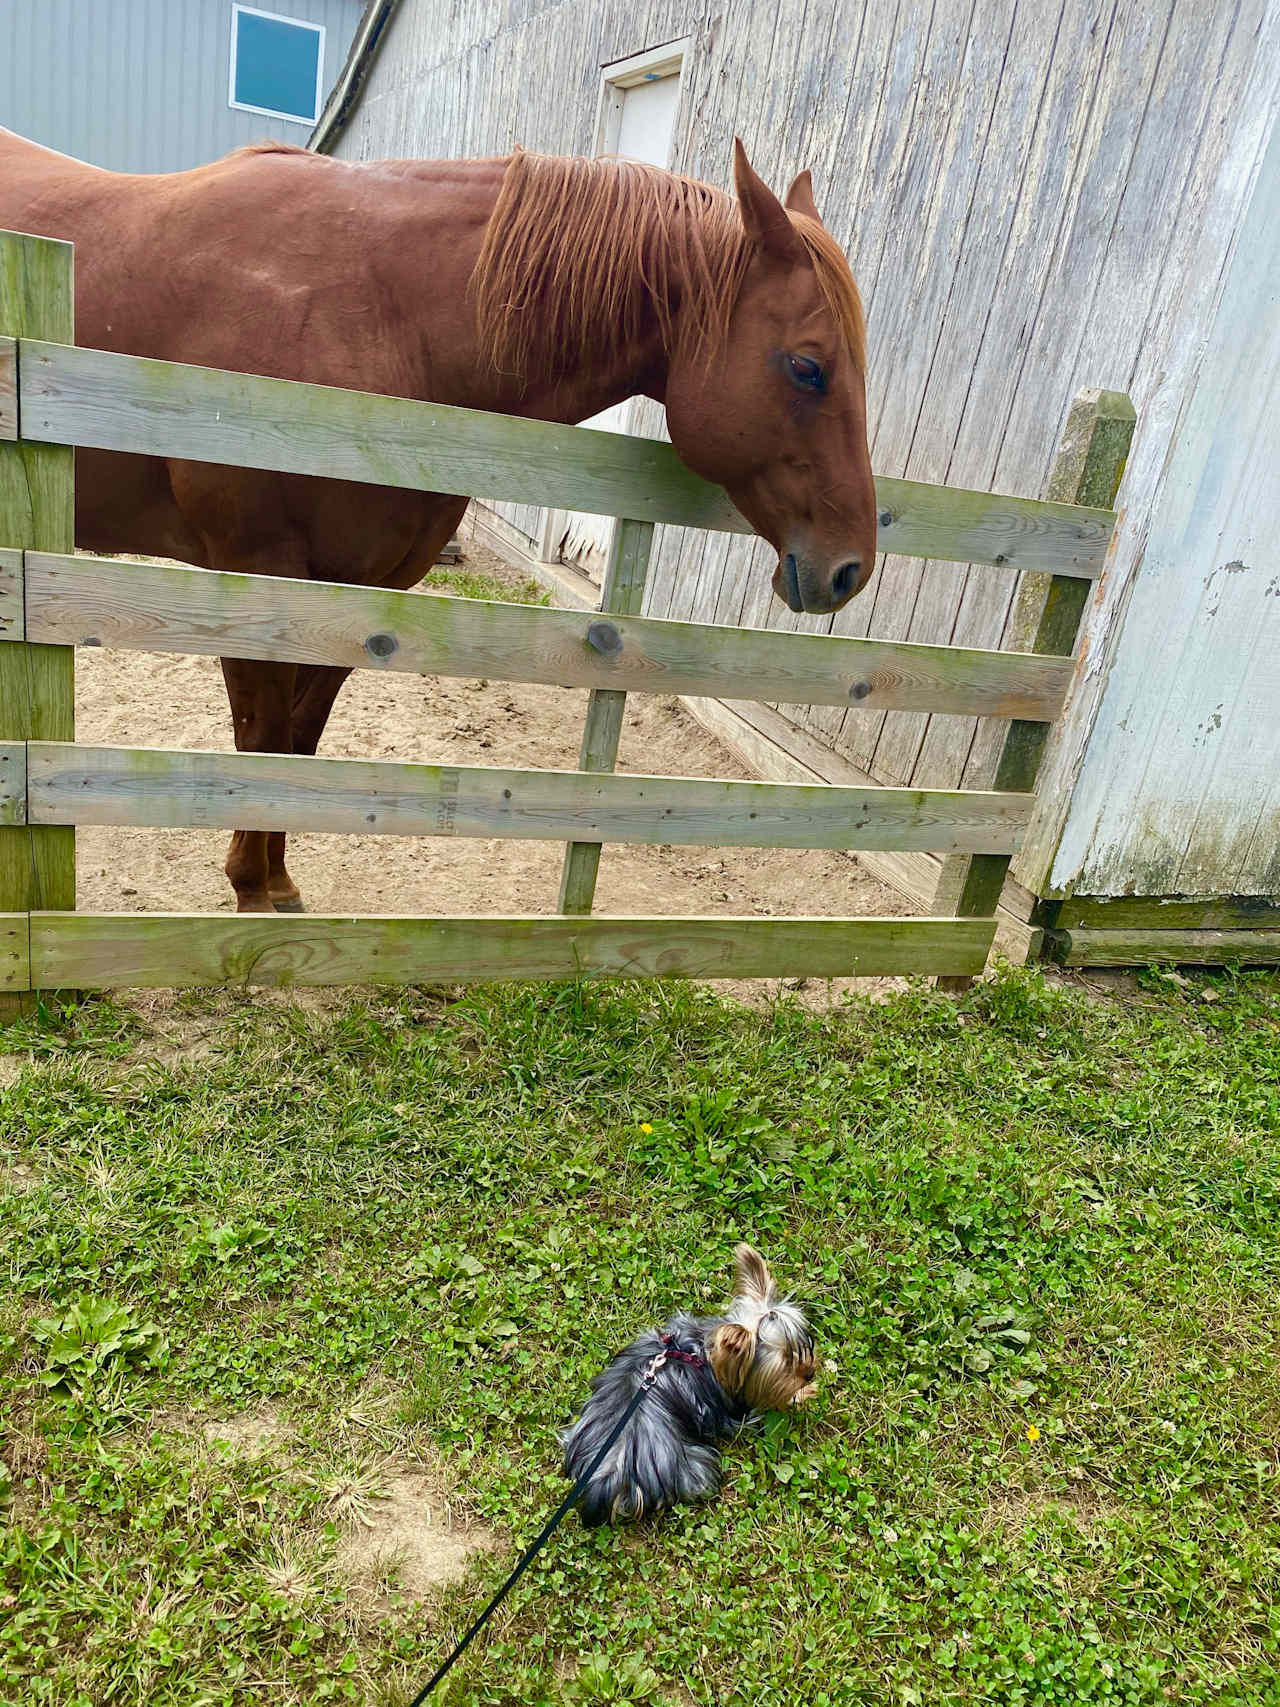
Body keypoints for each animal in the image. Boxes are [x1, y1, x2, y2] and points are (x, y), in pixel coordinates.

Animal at [0, 131, 880, 914]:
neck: (375, 317)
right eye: (807, 367)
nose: (850, 568)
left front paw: (275, 881)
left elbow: (300, 738)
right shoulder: (257, 574)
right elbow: (262, 735)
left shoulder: (363, 590)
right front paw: (251, 886)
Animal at [563, 1242, 822, 1522]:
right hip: (693, 1466)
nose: (810, 1373)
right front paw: (801, 1393)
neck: (702, 1351)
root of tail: (607, 1479)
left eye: (803, 1349)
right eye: (785, 1365)